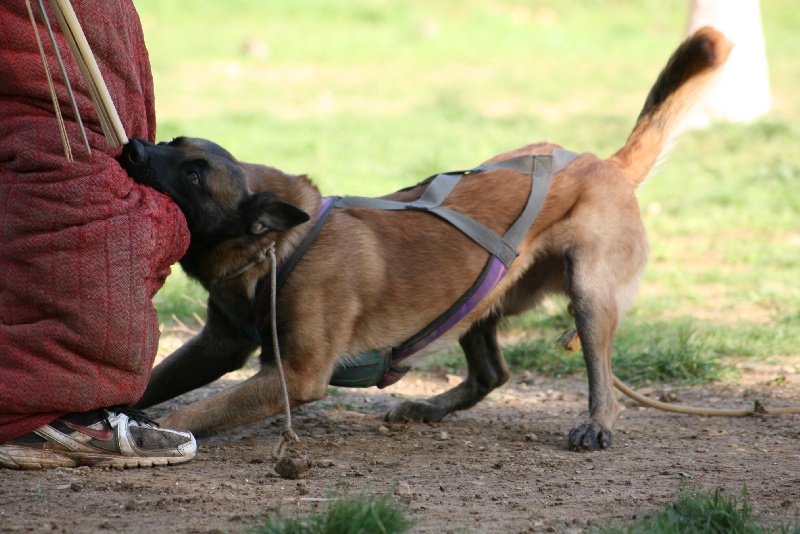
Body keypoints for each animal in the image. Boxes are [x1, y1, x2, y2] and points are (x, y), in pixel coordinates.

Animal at [120, 26, 732, 452]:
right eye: (172, 143)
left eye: (193, 174)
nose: (132, 147)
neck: (278, 250)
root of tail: (601, 161)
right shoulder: (216, 346)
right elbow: (149, 385)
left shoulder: (294, 376)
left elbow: (194, 412)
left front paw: (153, 433)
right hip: (478, 293)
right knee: (492, 373)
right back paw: (430, 409)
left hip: (587, 291)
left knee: (598, 374)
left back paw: (597, 424)